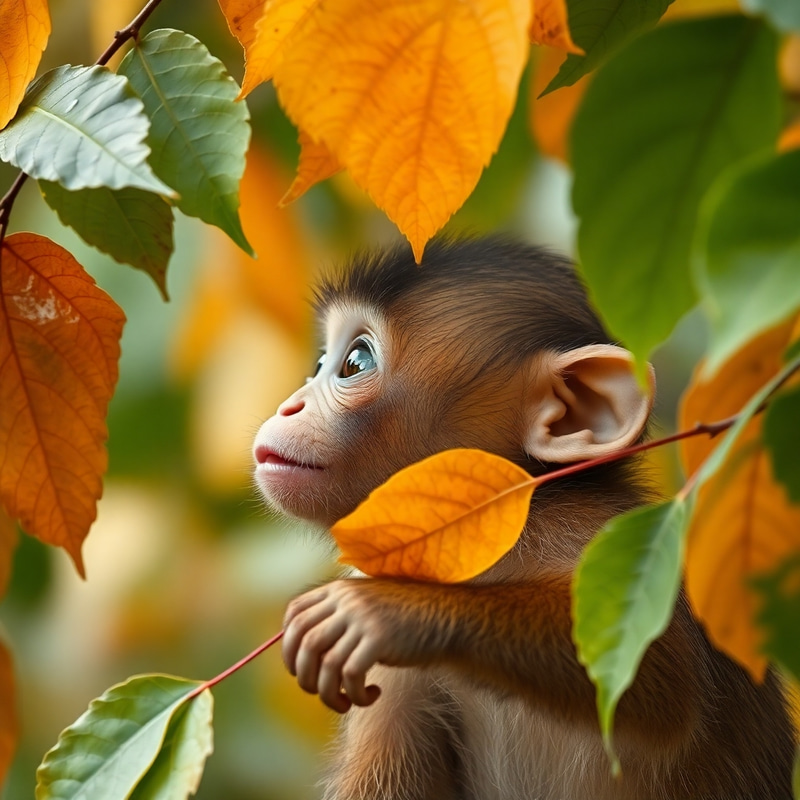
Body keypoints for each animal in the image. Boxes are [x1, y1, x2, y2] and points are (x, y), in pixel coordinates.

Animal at [252, 237, 795, 800]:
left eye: (355, 362)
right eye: (321, 361)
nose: (290, 406)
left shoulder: (593, 532)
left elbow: (656, 674)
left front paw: (395, 609)